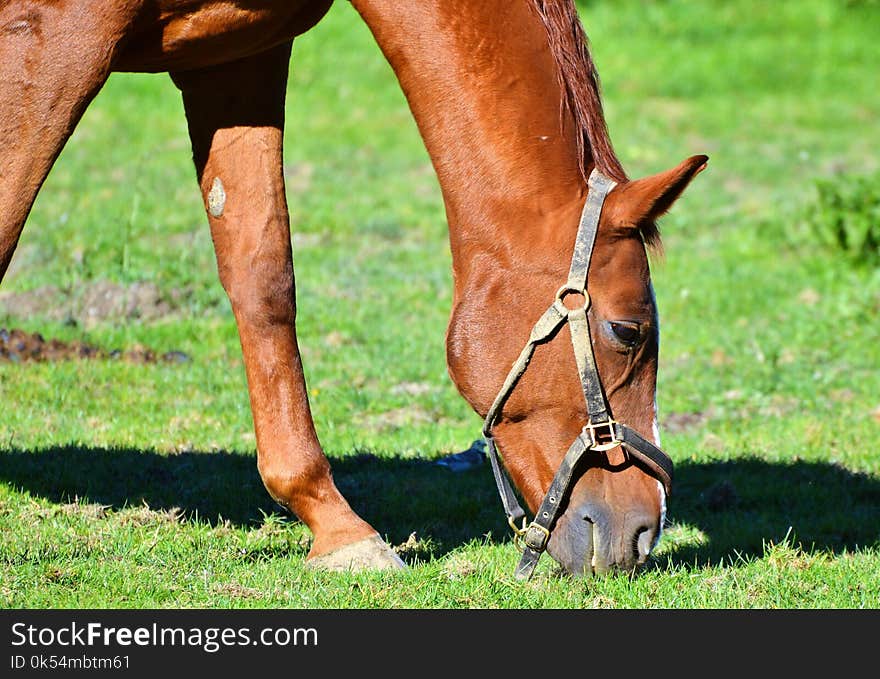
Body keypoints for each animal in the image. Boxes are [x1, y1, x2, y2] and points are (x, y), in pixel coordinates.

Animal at [0, 1, 704, 580]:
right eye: (628, 332)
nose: (644, 532)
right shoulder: (52, 35)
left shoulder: (234, 57)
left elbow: (263, 276)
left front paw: (335, 527)